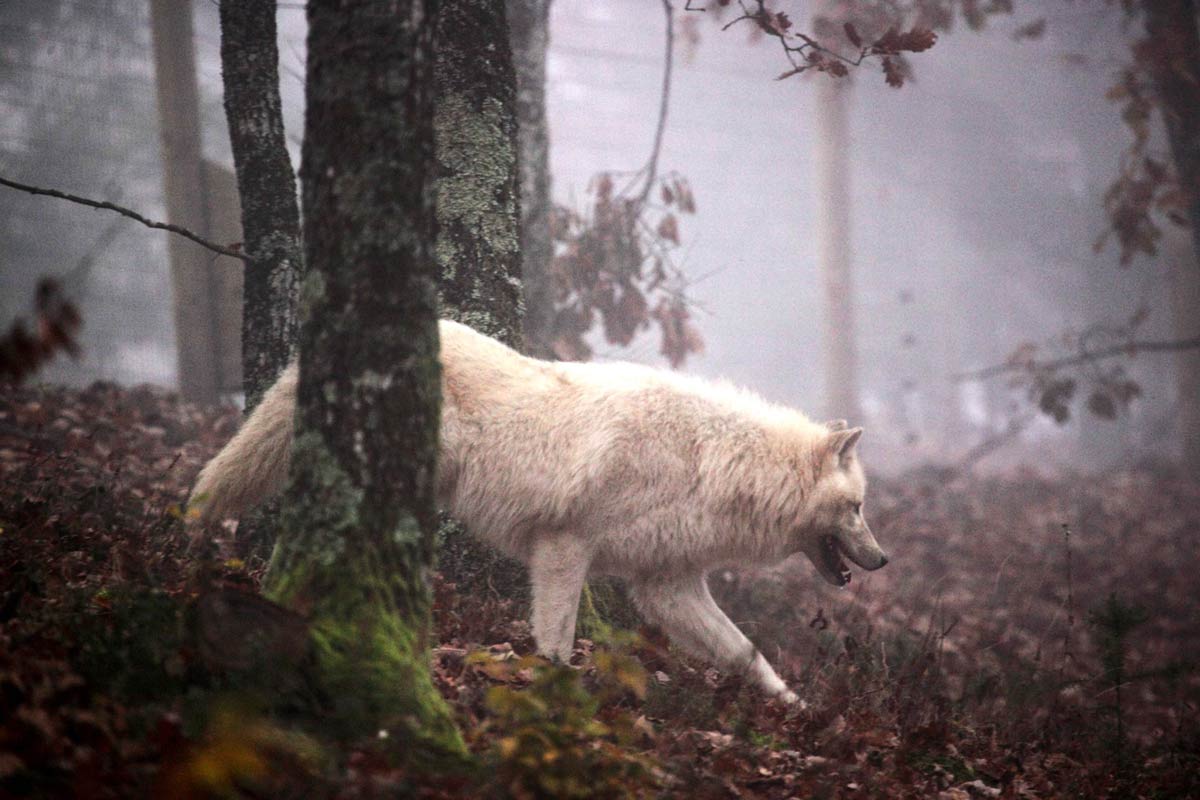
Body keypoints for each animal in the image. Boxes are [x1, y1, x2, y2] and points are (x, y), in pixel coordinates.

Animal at [192, 319, 888, 700]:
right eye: (856, 508)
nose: (883, 560)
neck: (706, 462)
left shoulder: (666, 584)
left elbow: (746, 652)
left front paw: (794, 707)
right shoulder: (564, 545)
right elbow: (555, 639)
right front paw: (553, 694)